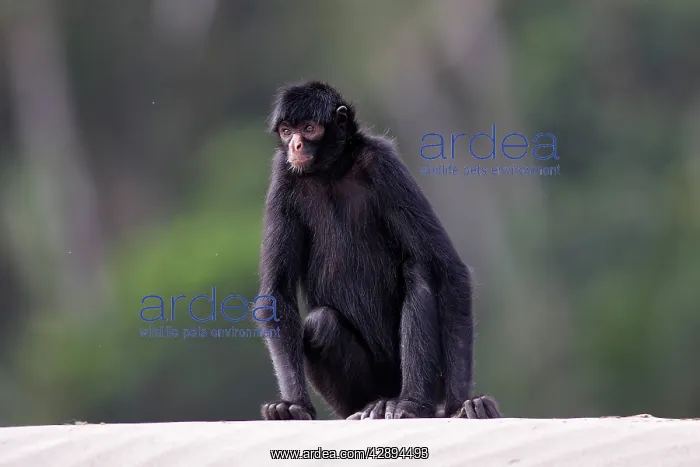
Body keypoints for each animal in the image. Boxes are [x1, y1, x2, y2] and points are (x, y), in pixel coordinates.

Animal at [255, 81, 501, 420]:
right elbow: (276, 294)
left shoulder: (382, 163)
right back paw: (369, 406)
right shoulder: (285, 177)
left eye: (309, 128)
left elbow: (448, 271)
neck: (332, 172)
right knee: (321, 323)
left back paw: (410, 403)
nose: (296, 145)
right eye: (286, 131)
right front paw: (294, 406)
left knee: (418, 271)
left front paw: (459, 405)